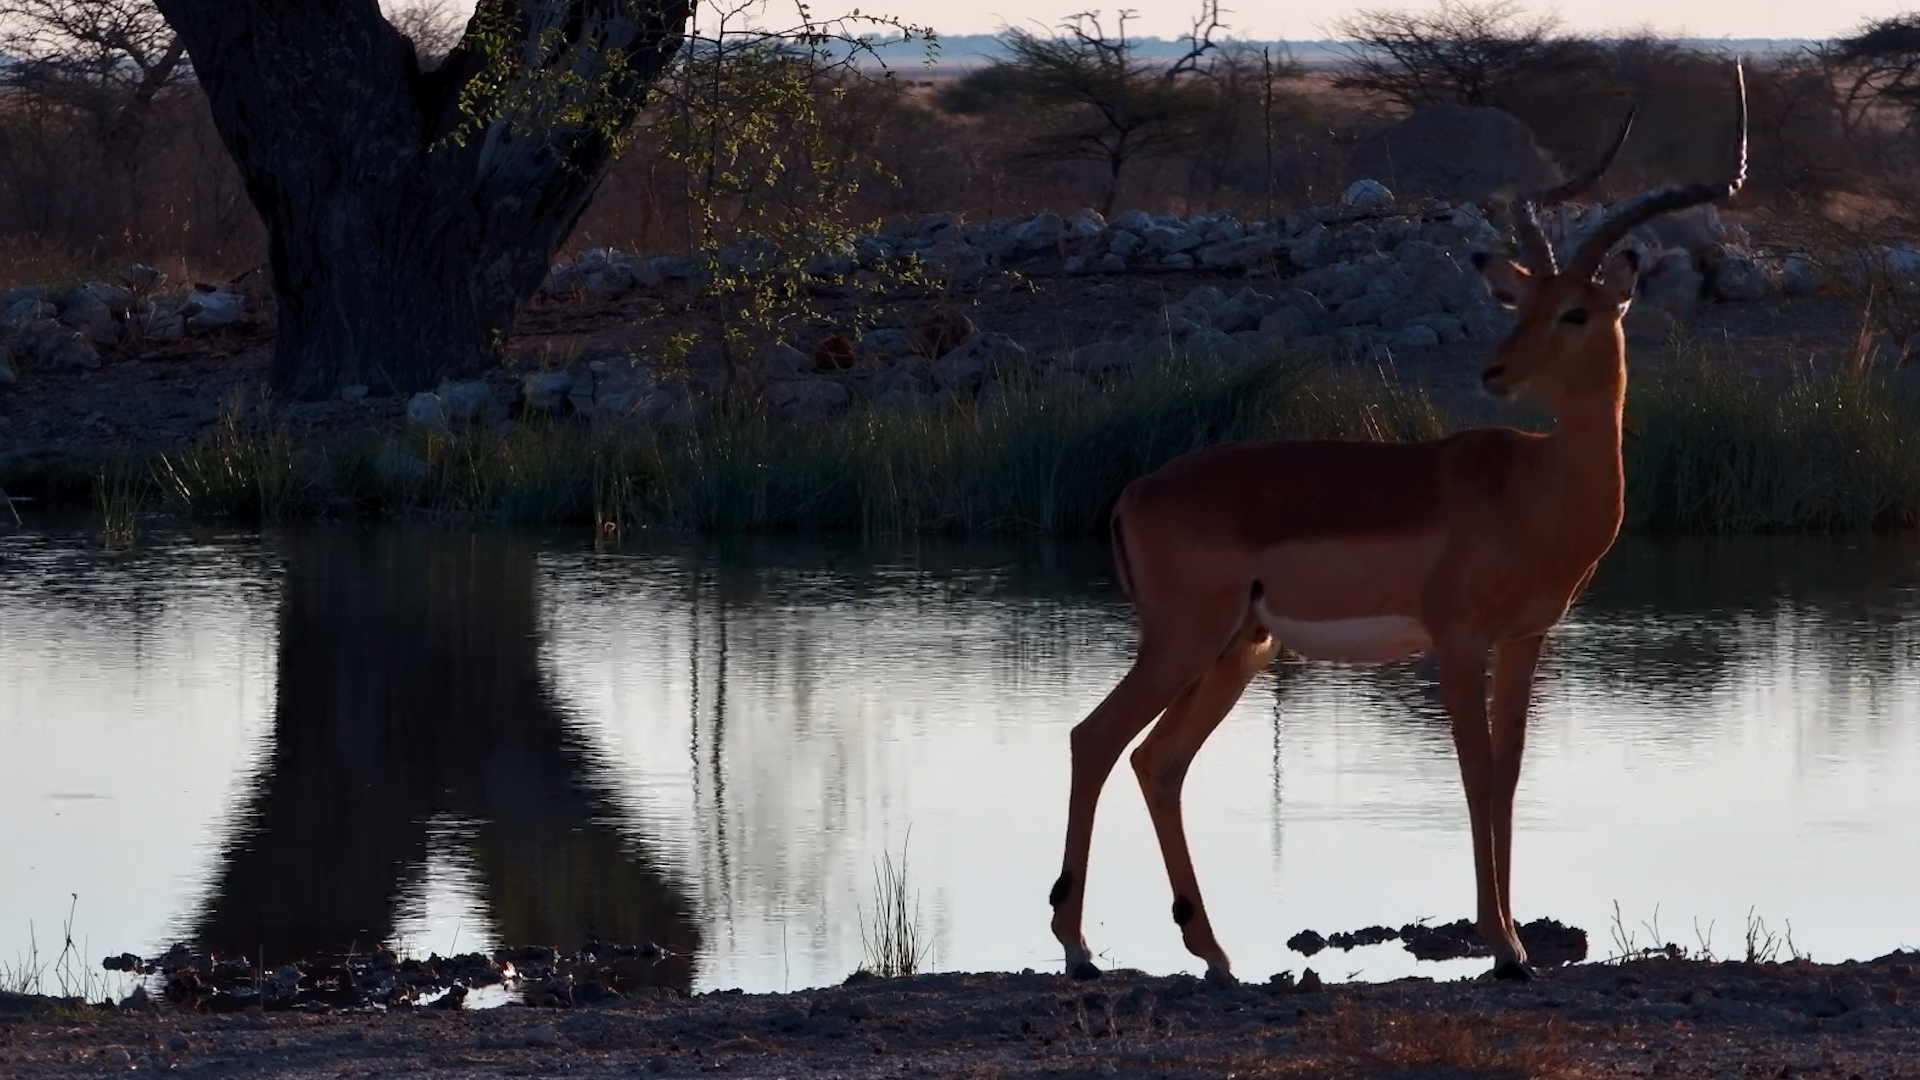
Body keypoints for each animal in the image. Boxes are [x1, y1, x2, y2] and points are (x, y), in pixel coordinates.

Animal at [1049, 64, 1748, 984]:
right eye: (1526, 302)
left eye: (1575, 311)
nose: (1494, 370)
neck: (1533, 486)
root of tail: (1134, 491)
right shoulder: (1455, 641)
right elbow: (1475, 772)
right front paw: (1505, 946)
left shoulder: (1525, 639)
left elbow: (1509, 773)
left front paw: (1516, 941)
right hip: (1184, 641)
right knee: (1095, 740)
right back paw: (1079, 948)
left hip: (1239, 650)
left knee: (1156, 761)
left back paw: (1215, 953)